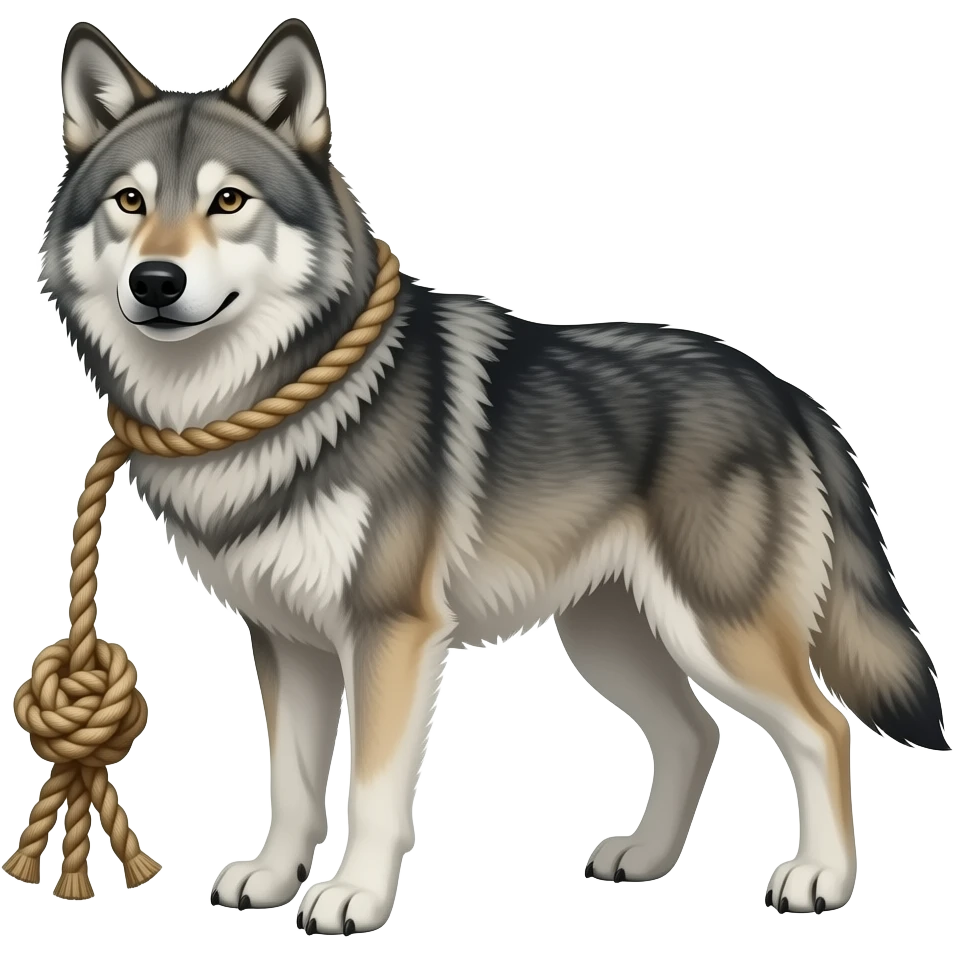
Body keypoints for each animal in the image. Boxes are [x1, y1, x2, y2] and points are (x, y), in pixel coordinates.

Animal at [39, 17, 948, 933]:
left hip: (717, 630)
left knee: (822, 727)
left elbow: (371, 787)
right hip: (610, 636)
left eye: (228, 202)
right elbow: (290, 783)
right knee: (696, 733)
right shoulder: (287, 641)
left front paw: (354, 895)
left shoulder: (390, 634)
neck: (264, 402)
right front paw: (269, 878)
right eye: (129, 202)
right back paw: (646, 859)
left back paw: (819, 878)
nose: (157, 282)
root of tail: (785, 391)